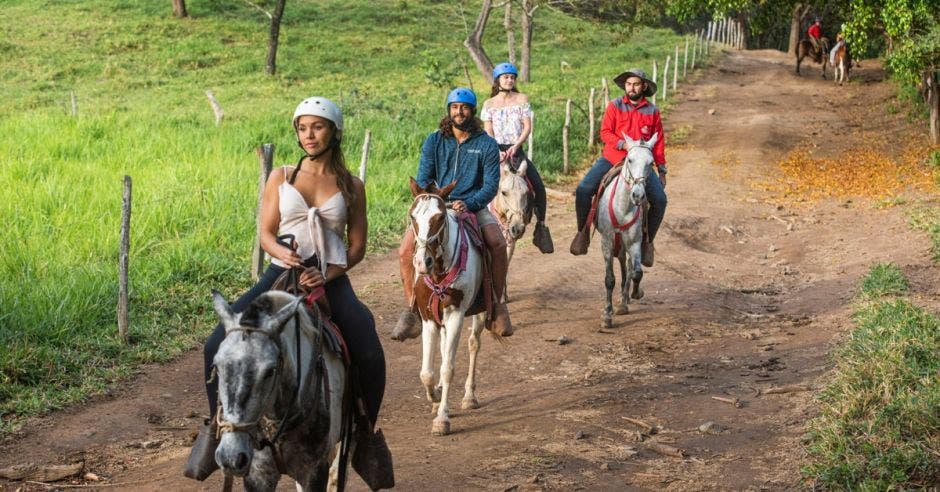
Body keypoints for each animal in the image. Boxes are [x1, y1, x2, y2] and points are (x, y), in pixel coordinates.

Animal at [408, 176, 488, 434]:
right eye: (412, 216)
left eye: (440, 217)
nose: (422, 262)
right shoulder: (427, 318)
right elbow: (427, 372)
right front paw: (435, 397)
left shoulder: (455, 315)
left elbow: (447, 368)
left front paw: (442, 418)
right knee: (444, 349)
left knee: (474, 344)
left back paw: (469, 396)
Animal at [488, 160, 532, 302]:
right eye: (504, 192)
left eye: (526, 193)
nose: (518, 228)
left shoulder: (509, 241)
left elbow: (505, 264)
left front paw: (502, 295)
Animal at [600, 133, 656, 328]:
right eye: (630, 159)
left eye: (651, 163)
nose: (638, 195)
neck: (623, 207)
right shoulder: (607, 242)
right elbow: (609, 279)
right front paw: (607, 315)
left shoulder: (634, 241)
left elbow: (637, 272)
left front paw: (635, 293)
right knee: (623, 263)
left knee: (630, 266)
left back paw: (625, 300)